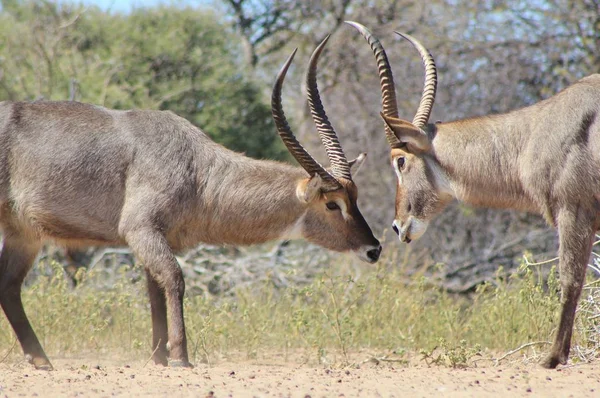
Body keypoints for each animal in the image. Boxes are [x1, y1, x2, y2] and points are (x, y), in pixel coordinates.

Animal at [0, 37, 380, 370]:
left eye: (355, 197)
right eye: (332, 204)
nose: (373, 249)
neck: (199, 170)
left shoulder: (154, 238)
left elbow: (155, 291)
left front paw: (158, 358)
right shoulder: (140, 230)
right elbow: (175, 279)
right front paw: (181, 356)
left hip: (24, 235)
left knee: (9, 286)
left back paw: (42, 361)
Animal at [346, 21, 600, 368]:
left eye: (400, 160)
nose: (399, 226)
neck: (531, 134)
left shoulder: (574, 211)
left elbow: (570, 279)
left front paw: (553, 357)